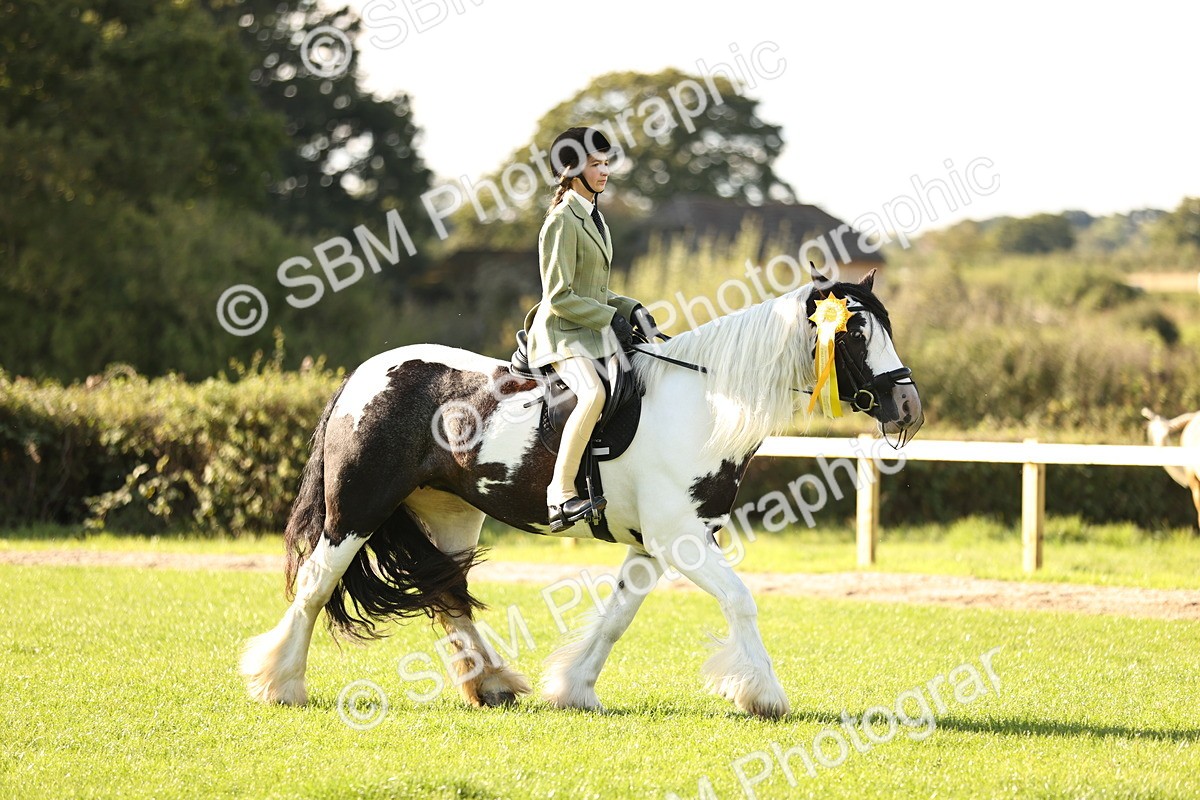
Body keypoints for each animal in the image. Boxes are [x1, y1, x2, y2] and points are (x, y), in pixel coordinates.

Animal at [240, 270, 924, 719]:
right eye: (853, 332)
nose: (908, 408)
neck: (705, 402)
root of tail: (363, 375)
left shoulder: (652, 546)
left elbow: (617, 618)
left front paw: (574, 688)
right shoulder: (682, 540)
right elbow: (741, 601)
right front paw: (764, 694)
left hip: (450, 514)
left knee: (447, 595)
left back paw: (491, 686)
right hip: (355, 510)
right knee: (316, 586)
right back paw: (282, 684)